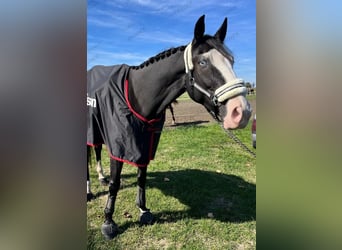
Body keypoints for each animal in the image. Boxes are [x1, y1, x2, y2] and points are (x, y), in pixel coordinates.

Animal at [86, 14, 251, 239]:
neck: (137, 96)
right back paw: (89, 192)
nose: (241, 112)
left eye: (231, 61)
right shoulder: (120, 146)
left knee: (96, 150)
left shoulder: (144, 145)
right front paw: (108, 222)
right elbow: (115, 184)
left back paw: (101, 177)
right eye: (203, 62)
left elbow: (141, 178)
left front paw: (143, 211)